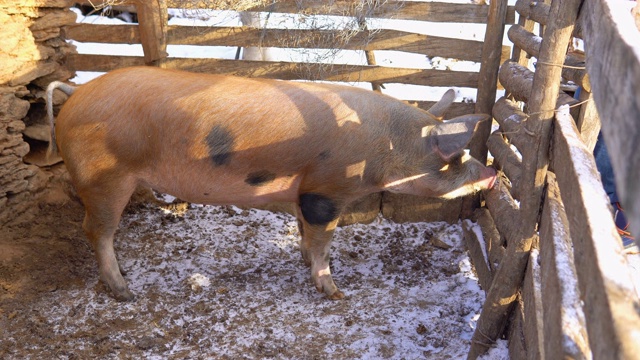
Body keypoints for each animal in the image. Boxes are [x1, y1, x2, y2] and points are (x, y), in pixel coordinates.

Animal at [47, 67, 498, 300]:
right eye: (455, 157)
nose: (493, 173)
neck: (383, 147)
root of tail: (76, 91)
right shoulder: (325, 192)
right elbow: (323, 241)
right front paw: (334, 291)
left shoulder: (302, 193)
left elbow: (303, 232)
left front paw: (301, 258)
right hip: (102, 179)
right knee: (96, 231)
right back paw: (125, 291)